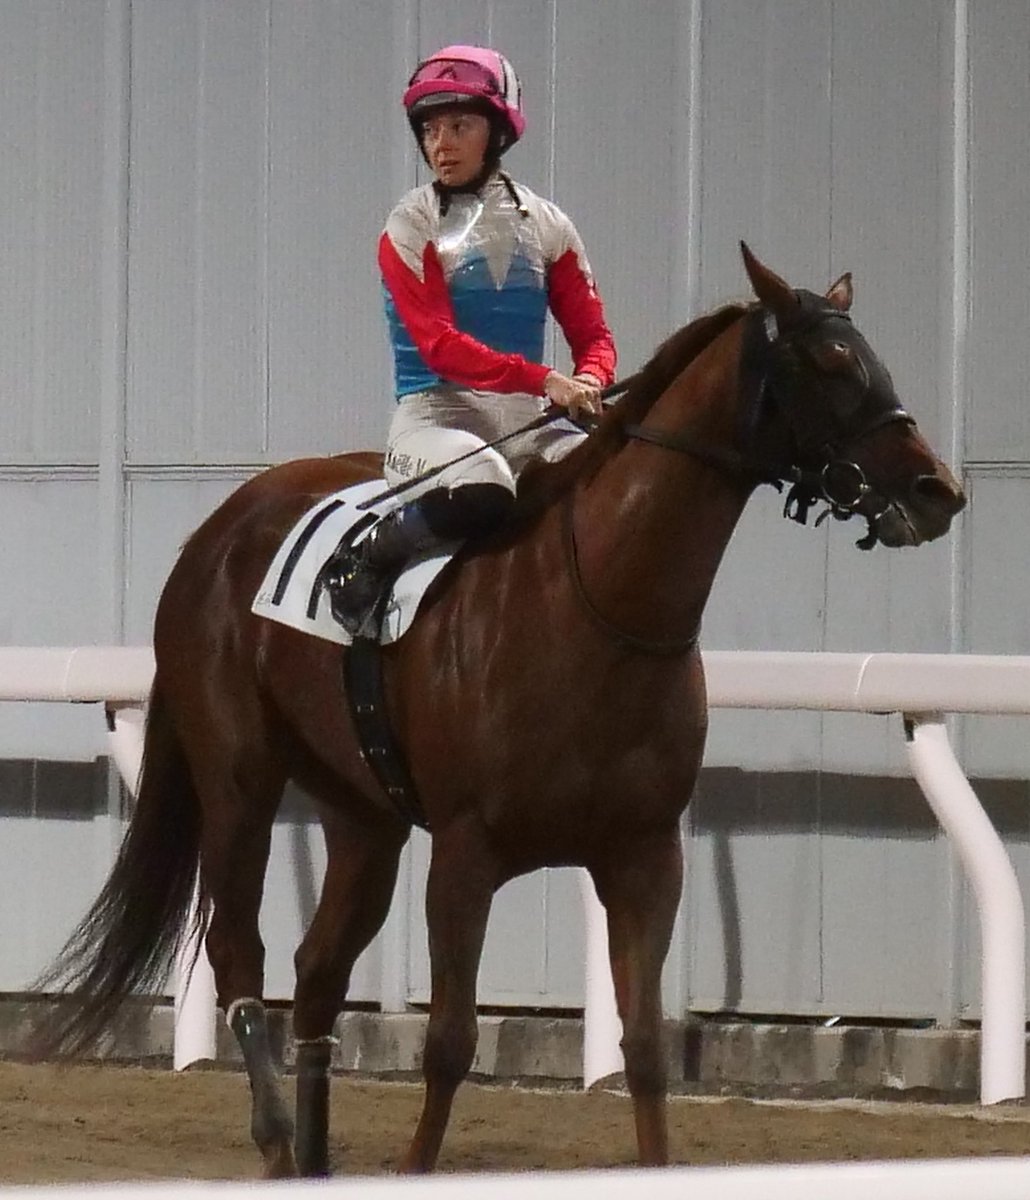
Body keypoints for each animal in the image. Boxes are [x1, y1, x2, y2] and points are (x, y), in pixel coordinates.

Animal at [31, 244, 965, 1178]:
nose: (938, 489)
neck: (598, 603)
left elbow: (645, 1047)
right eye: (834, 362)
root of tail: (215, 533)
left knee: (318, 972)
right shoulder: (465, 851)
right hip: (239, 782)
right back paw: (277, 1143)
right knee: (240, 952)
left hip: (363, 815)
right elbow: (448, 1040)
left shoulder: (645, 854)